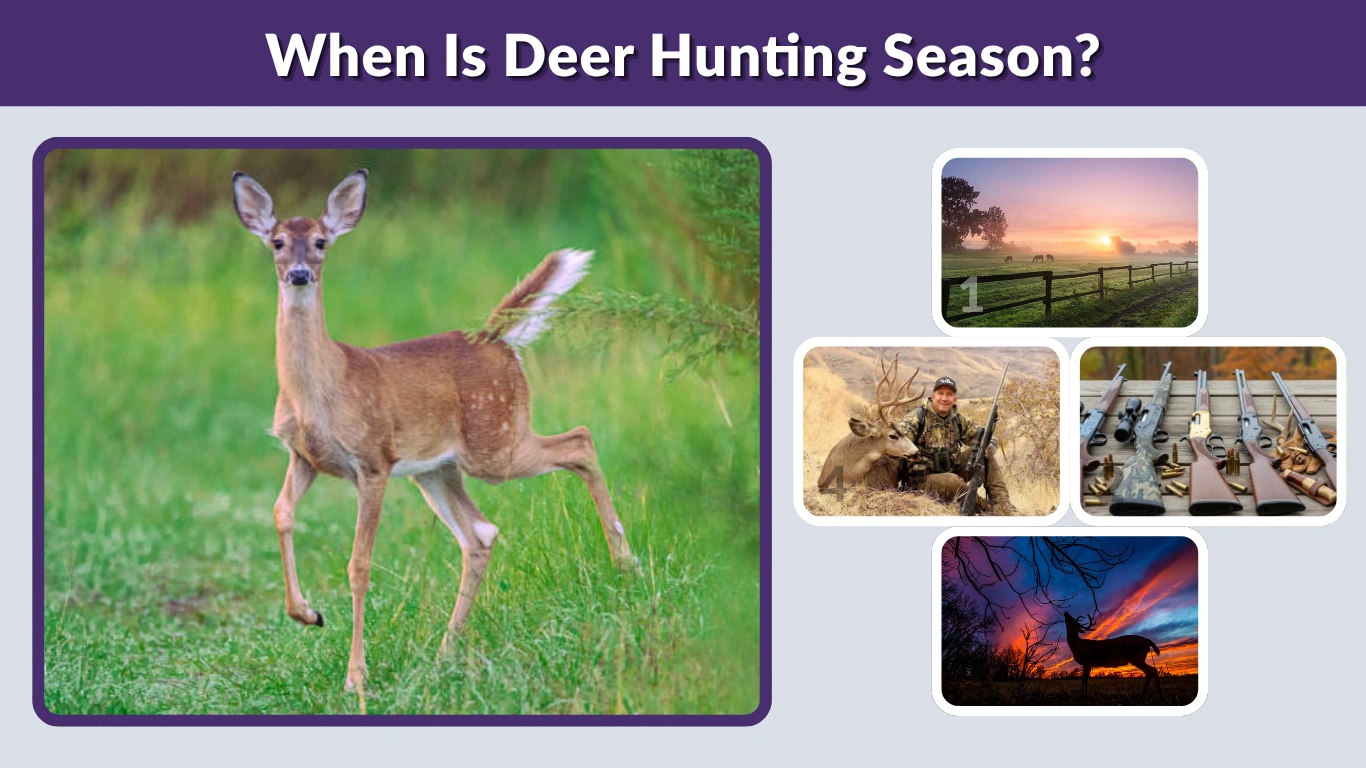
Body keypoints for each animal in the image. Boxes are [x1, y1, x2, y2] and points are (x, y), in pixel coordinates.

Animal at [232, 170, 634, 704]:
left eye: (320, 242)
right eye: (277, 242)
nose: (299, 274)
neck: (321, 390)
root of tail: (497, 339)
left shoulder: (374, 460)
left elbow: (359, 564)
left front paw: (355, 676)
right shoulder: (303, 457)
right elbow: (280, 514)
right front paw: (308, 614)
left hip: (495, 443)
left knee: (580, 440)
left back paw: (625, 561)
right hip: (438, 470)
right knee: (481, 533)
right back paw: (446, 651)